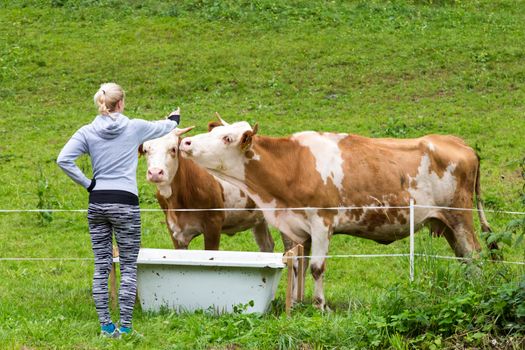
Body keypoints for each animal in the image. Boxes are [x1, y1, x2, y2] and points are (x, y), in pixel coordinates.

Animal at [139, 127, 274, 253]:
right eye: (145, 150)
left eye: (173, 149)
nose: (155, 173)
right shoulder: (173, 229)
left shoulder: (213, 224)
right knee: (267, 245)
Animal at [180, 117, 496, 308]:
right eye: (212, 131)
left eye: (227, 138)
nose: (186, 142)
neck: (292, 167)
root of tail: (457, 142)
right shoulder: (292, 227)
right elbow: (296, 265)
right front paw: (296, 303)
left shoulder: (322, 222)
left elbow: (317, 267)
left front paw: (321, 307)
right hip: (447, 223)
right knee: (464, 257)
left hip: (460, 216)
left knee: (475, 254)